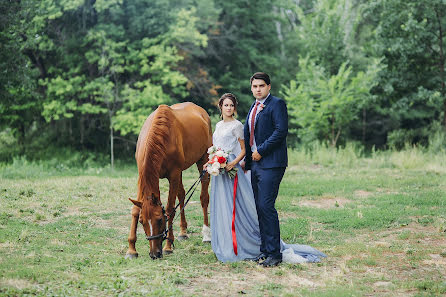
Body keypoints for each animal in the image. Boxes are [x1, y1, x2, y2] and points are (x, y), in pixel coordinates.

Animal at [126, 102, 212, 260]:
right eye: (141, 221)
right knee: (182, 195)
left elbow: (170, 209)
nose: (154, 254)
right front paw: (131, 249)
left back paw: (206, 235)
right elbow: (135, 209)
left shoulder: (173, 175)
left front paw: (168, 247)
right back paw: (183, 232)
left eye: (160, 220)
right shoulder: (142, 176)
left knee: (204, 197)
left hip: (203, 161)